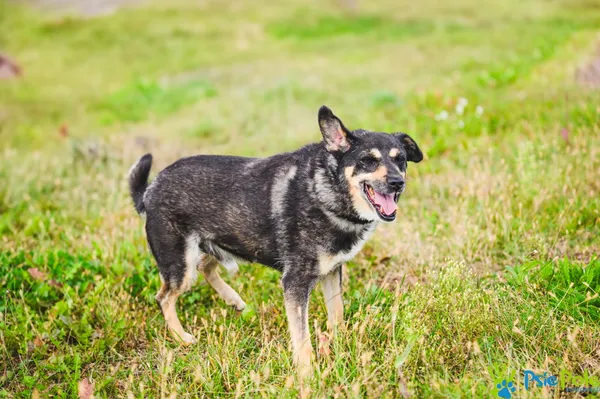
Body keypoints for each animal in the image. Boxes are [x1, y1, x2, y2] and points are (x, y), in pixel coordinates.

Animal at [129, 105, 424, 378]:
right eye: (368, 160)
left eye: (401, 159)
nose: (397, 182)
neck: (326, 190)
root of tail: (149, 190)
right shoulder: (295, 283)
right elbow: (302, 337)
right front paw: (307, 375)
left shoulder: (331, 271)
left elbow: (337, 314)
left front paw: (342, 346)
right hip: (180, 263)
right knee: (165, 296)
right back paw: (182, 338)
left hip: (221, 241)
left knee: (206, 267)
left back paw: (233, 299)